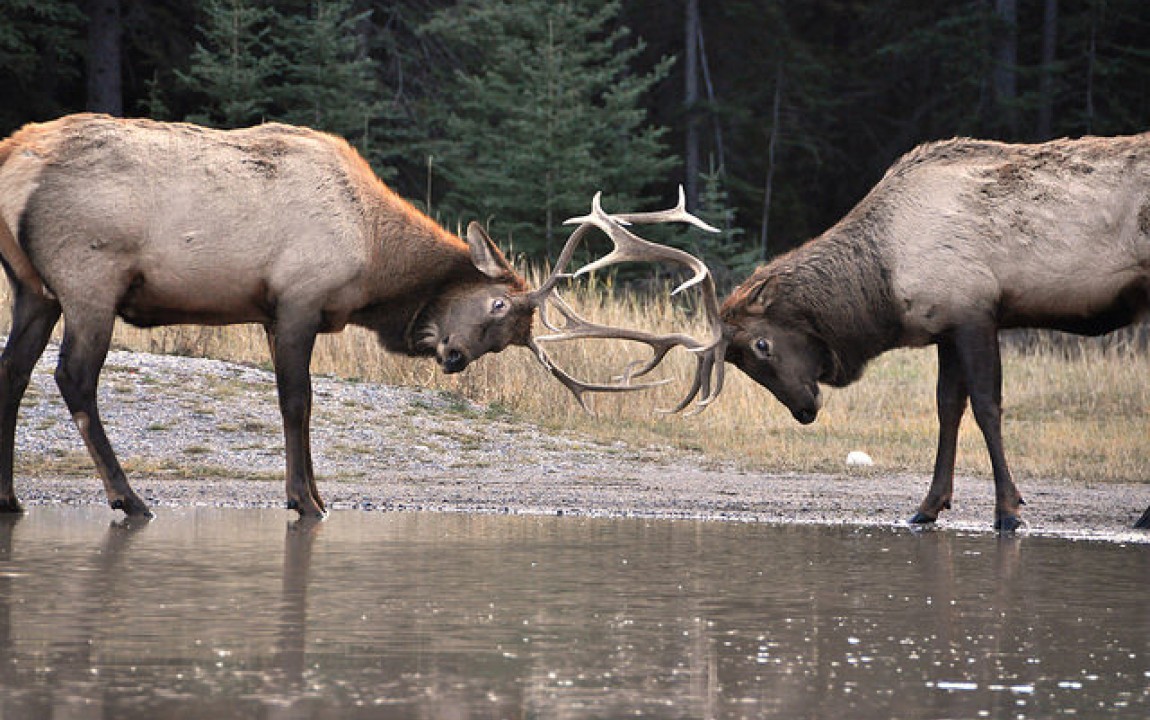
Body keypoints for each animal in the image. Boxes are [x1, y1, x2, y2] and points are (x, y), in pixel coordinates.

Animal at [0, 113, 725, 519]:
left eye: (508, 340)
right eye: (497, 307)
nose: (452, 357)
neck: (373, 261)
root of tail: (14, 162)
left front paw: (314, 494)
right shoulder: (294, 299)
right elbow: (298, 402)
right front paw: (307, 500)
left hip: (33, 287)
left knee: (14, 372)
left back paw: (11, 497)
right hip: (89, 276)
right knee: (73, 378)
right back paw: (129, 499)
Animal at [715, 133, 1150, 531]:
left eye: (761, 344)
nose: (804, 409)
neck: (886, 284)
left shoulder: (975, 313)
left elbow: (987, 408)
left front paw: (1008, 510)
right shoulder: (947, 328)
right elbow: (948, 408)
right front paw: (929, 506)